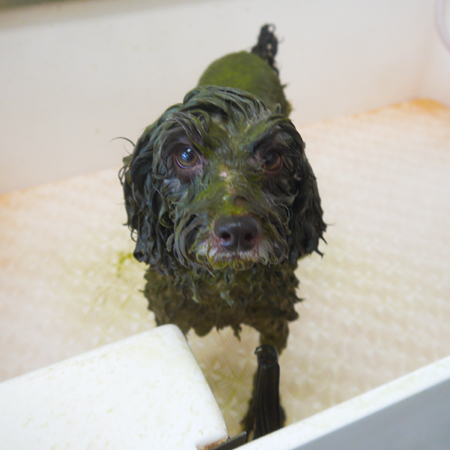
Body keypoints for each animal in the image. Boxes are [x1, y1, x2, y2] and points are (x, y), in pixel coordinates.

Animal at [120, 25, 325, 356]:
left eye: (272, 158)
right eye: (186, 155)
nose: (238, 231)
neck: (222, 279)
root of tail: (251, 52)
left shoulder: (275, 322)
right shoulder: (170, 315)